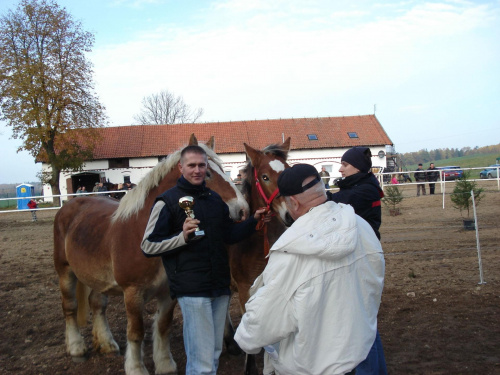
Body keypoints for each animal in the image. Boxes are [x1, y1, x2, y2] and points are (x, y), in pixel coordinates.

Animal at [53, 135, 249, 375]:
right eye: (207, 173)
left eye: (224, 169)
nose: (242, 210)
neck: (144, 234)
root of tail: (69, 205)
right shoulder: (132, 293)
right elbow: (136, 331)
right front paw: (136, 368)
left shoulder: (168, 293)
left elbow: (163, 326)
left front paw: (165, 365)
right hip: (65, 271)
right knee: (70, 306)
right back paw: (76, 348)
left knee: (97, 304)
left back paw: (107, 344)